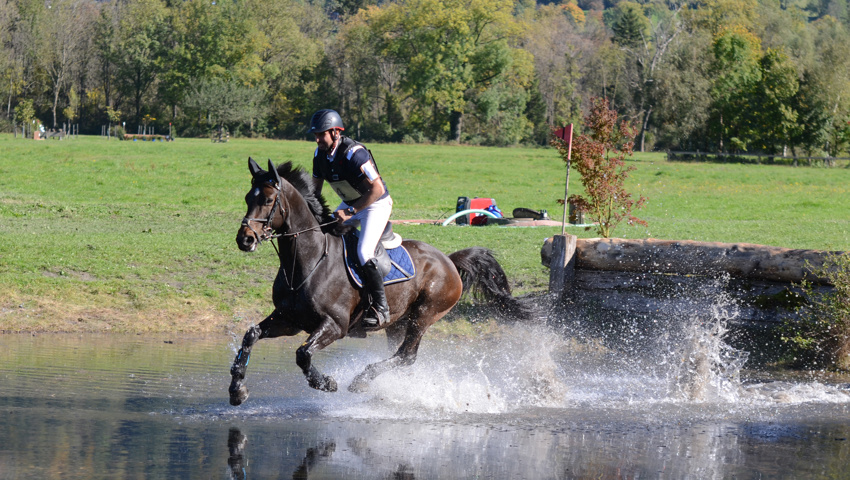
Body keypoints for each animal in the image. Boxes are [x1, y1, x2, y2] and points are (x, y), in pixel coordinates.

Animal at [229, 158, 528, 404]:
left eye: (269, 200)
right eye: (247, 198)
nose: (245, 239)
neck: (308, 261)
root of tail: (449, 261)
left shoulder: (335, 325)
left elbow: (303, 354)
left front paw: (326, 383)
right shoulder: (290, 319)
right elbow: (251, 334)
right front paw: (237, 389)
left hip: (425, 313)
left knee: (406, 356)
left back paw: (361, 381)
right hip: (398, 322)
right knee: (401, 356)